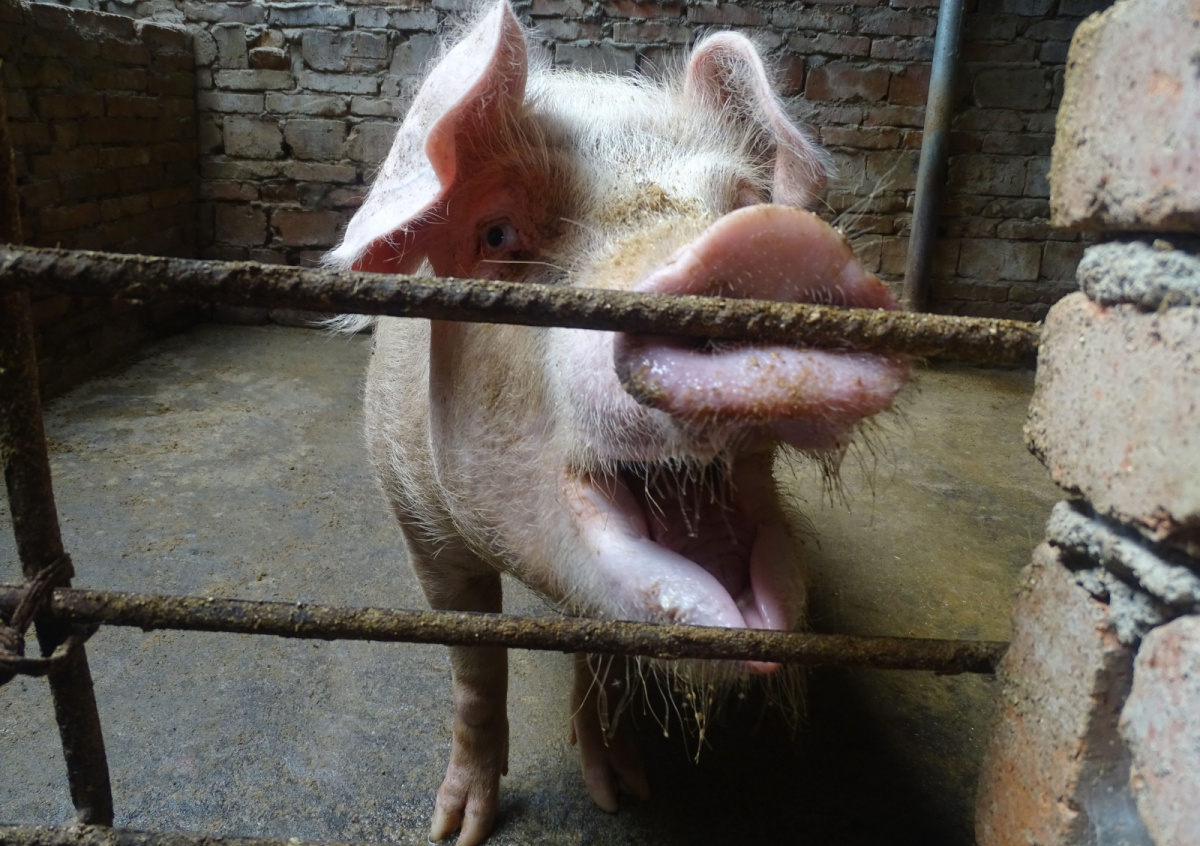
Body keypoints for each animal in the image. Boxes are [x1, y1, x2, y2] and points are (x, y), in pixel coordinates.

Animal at [326, 2, 908, 843]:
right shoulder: (416, 518)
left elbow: (597, 651)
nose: (767, 242)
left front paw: (618, 793)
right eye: (496, 234)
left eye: (741, 202)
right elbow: (474, 665)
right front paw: (456, 828)